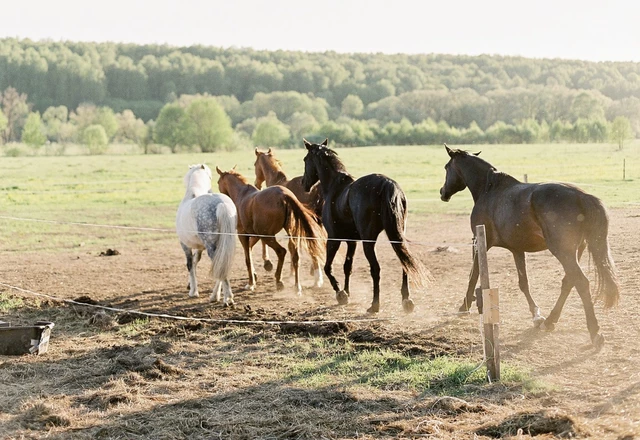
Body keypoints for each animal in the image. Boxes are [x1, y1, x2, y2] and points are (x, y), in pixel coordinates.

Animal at [176, 163, 239, 304]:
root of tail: (221, 204)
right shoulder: (200, 247)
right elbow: (195, 262)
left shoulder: (185, 245)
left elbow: (190, 264)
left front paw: (193, 291)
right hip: (224, 244)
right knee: (220, 265)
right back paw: (216, 296)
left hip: (211, 246)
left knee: (219, 267)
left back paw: (227, 298)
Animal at [302, 138, 428, 312]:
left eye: (305, 160)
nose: (304, 184)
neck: (335, 187)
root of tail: (387, 184)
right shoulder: (352, 241)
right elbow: (347, 266)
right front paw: (346, 292)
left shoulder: (334, 239)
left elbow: (328, 267)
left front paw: (341, 293)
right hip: (396, 236)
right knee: (404, 264)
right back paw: (406, 300)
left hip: (368, 242)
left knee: (375, 269)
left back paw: (374, 304)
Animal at [440, 146, 620, 348]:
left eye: (446, 167)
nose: (442, 192)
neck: (489, 190)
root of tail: (581, 196)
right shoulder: (517, 249)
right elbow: (523, 283)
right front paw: (536, 315)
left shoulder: (479, 244)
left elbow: (473, 275)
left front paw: (464, 305)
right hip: (575, 251)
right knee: (569, 281)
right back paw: (550, 321)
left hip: (562, 252)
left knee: (580, 282)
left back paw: (594, 332)